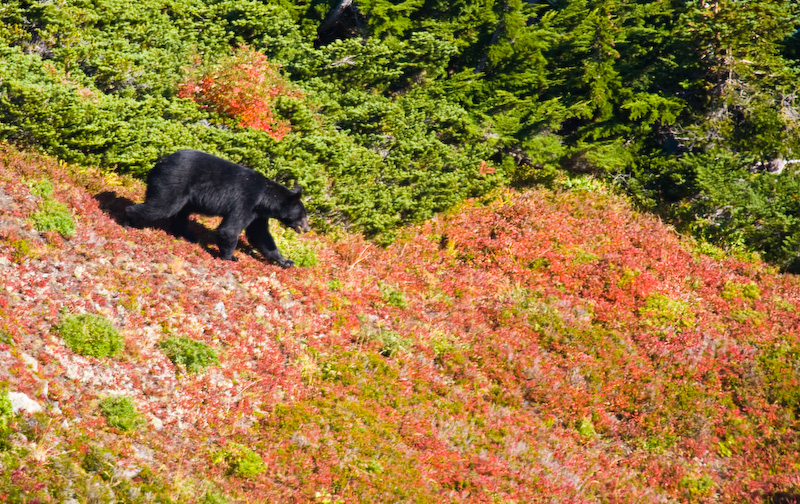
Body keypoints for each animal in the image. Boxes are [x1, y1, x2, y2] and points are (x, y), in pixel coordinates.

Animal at [126, 148, 310, 268]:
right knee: (161, 206)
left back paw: (186, 234)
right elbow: (229, 229)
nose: (307, 229)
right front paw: (231, 257)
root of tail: (159, 162)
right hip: (172, 183)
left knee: (181, 214)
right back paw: (129, 220)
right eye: (303, 216)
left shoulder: (258, 214)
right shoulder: (245, 201)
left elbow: (261, 235)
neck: (264, 198)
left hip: (186, 196)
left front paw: (286, 261)